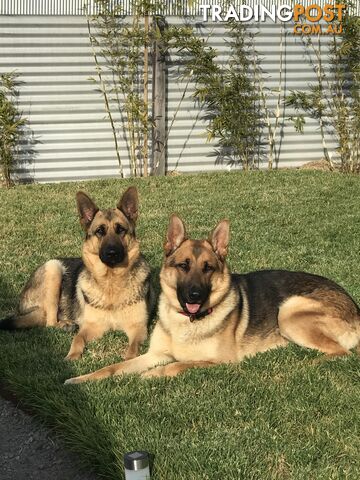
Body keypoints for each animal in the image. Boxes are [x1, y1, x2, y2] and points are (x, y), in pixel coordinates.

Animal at [64, 216, 360, 384]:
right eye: (183, 266)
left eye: (208, 268)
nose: (195, 295)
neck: (188, 321)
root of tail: (355, 308)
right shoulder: (155, 354)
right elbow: (114, 367)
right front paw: (81, 378)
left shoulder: (221, 362)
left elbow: (178, 364)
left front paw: (151, 376)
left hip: (288, 313)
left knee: (342, 353)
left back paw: (305, 364)